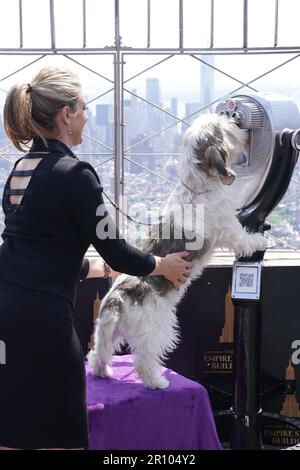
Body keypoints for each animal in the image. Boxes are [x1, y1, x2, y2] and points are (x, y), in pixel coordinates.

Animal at [86, 113, 268, 390]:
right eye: (223, 128)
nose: (235, 122)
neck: (198, 187)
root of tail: (117, 298)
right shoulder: (229, 228)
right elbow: (243, 240)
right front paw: (260, 241)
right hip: (156, 328)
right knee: (144, 358)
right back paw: (156, 381)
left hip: (109, 331)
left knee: (98, 353)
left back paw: (103, 372)